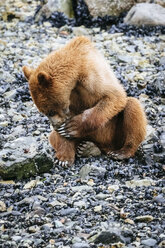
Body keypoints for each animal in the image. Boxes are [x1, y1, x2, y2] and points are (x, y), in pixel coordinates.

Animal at [22, 36, 147, 167]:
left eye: (50, 111)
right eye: (43, 112)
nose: (55, 126)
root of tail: (105, 146)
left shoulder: (92, 76)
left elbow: (114, 96)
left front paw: (73, 126)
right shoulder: (71, 100)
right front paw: (63, 159)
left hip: (115, 133)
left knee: (132, 107)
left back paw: (121, 152)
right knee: (52, 137)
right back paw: (87, 147)